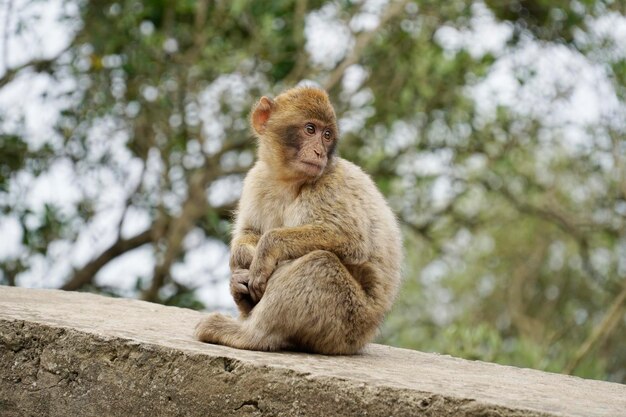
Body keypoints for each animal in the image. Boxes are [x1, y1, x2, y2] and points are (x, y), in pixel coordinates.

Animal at [193, 86, 402, 352]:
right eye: (310, 129)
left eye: (327, 135)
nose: (319, 152)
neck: (289, 182)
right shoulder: (257, 179)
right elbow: (249, 232)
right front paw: (243, 260)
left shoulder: (330, 183)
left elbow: (350, 240)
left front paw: (265, 251)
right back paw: (242, 296)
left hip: (347, 321)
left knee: (319, 263)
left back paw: (249, 334)